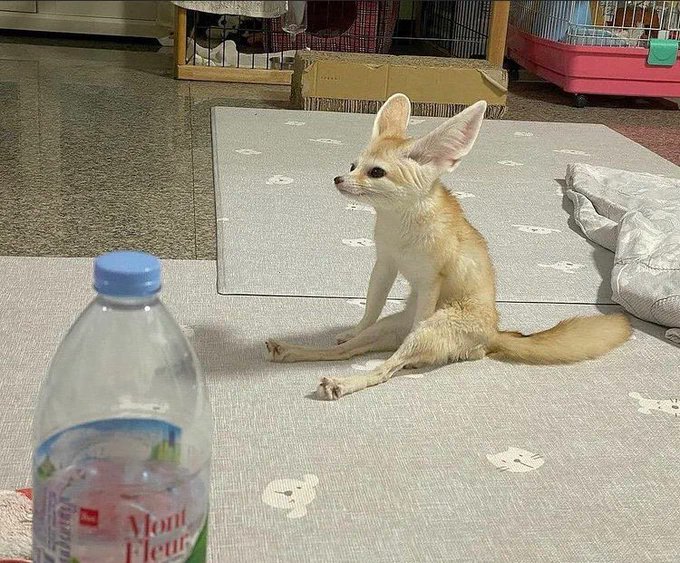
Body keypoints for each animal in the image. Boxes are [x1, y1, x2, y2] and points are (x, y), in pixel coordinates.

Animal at [265, 93, 631, 400]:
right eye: (353, 166)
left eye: (376, 172)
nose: (338, 179)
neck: (400, 226)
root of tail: (494, 334)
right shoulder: (385, 263)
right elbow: (370, 308)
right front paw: (352, 328)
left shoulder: (431, 279)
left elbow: (392, 342)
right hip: (391, 327)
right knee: (350, 350)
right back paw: (293, 351)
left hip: (429, 329)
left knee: (388, 366)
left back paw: (344, 381)